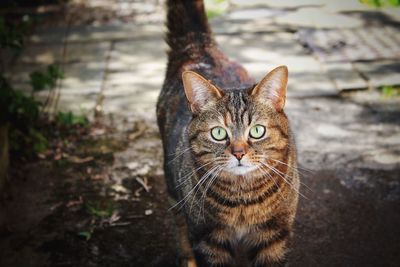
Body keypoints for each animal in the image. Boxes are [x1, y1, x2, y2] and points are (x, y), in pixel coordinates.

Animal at [156, 0, 300, 267]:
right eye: (219, 133)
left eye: (257, 130)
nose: (239, 153)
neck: (243, 200)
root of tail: (199, 50)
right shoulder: (208, 240)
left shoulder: (274, 237)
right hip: (173, 186)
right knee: (179, 226)